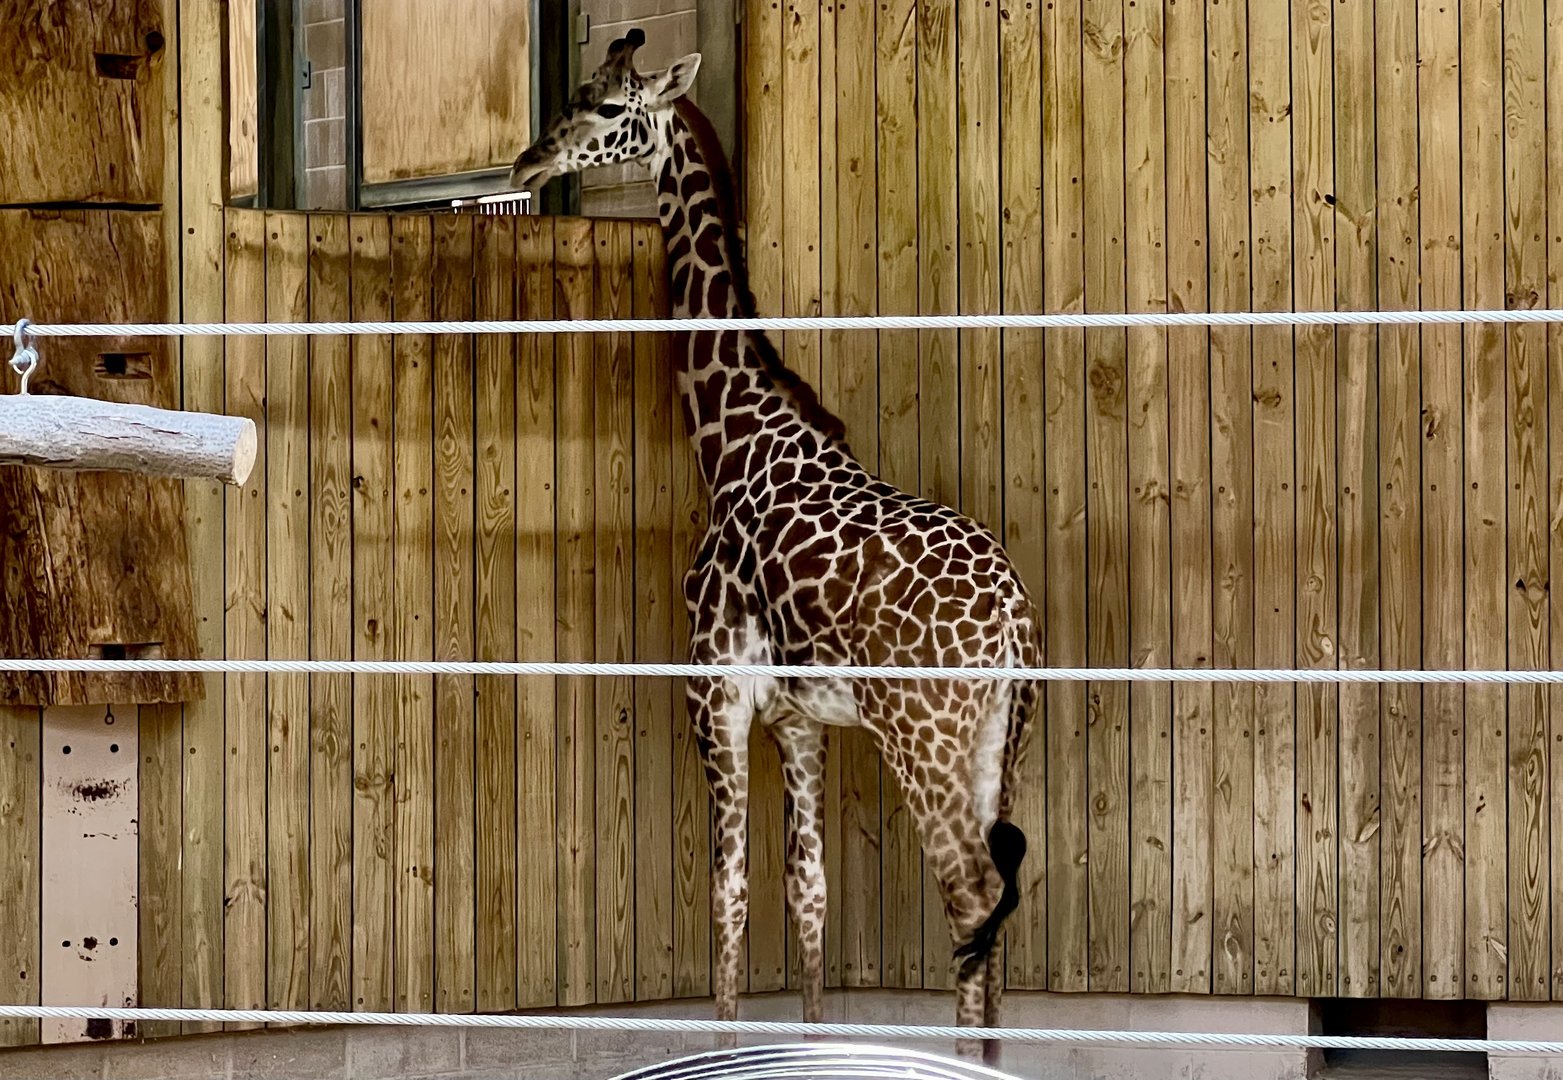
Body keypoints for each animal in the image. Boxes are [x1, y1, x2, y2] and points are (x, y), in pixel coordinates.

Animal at [511, 30, 1041, 1063]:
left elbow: (727, 889)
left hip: (924, 736)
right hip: (999, 741)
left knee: (969, 899)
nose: (527, 162)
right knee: (995, 912)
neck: (732, 438)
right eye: (575, 92)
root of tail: (1011, 623)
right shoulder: (801, 718)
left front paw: (720, 1050)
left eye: (605, 106)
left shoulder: (714, 691)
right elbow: (808, 891)